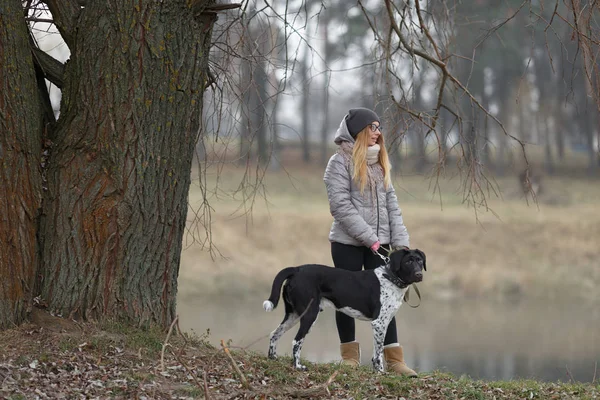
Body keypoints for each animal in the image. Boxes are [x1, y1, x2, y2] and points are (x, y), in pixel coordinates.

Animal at [262, 250, 426, 372]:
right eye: (408, 262)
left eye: (419, 261)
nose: (419, 275)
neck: (390, 277)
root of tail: (296, 269)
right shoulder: (379, 323)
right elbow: (378, 353)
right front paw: (380, 372)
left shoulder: (385, 322)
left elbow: (376, 352)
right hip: (309, 315)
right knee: (296, 341)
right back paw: (298, 366)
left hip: (293, 315)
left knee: (274, 334)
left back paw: (273, 358)